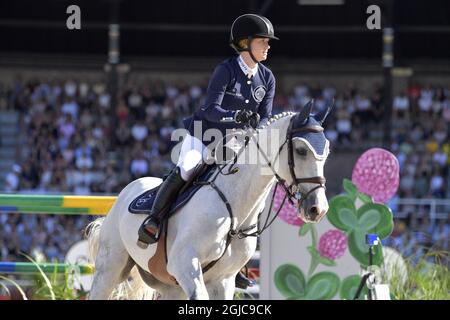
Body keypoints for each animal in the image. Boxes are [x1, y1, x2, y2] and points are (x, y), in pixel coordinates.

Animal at [85, 102, 330, 300]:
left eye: (327, 151)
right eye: (300, 150)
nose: (317, 209)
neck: (235, 211)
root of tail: (127, 190)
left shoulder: (223, 279)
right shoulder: (185, 264)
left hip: (168, 285)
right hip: (110, 268)